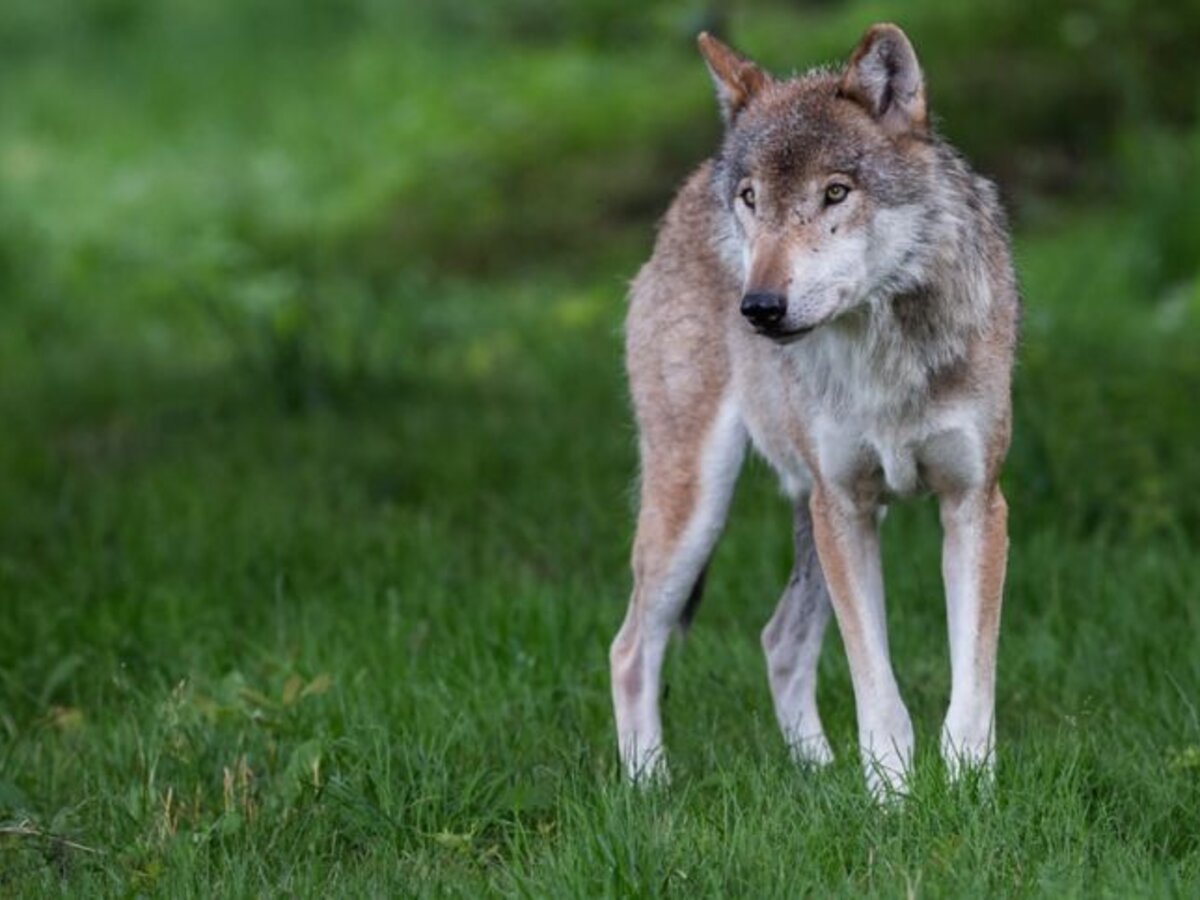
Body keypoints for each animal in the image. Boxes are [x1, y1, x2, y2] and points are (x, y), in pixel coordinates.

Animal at [614, 21, 1017, 796]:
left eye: (835, 192)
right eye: (752, 198)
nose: (760, 308)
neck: (884, 354)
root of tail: (690, 186)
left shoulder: (974, 504)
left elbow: (972, 685)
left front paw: (968, 794)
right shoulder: (847, 505)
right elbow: (878, 691)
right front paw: (892, 800)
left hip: (808, 514)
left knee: (779, 640)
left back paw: (816, 772)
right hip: (699, 507)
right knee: (630, 648)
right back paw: (649, 791)